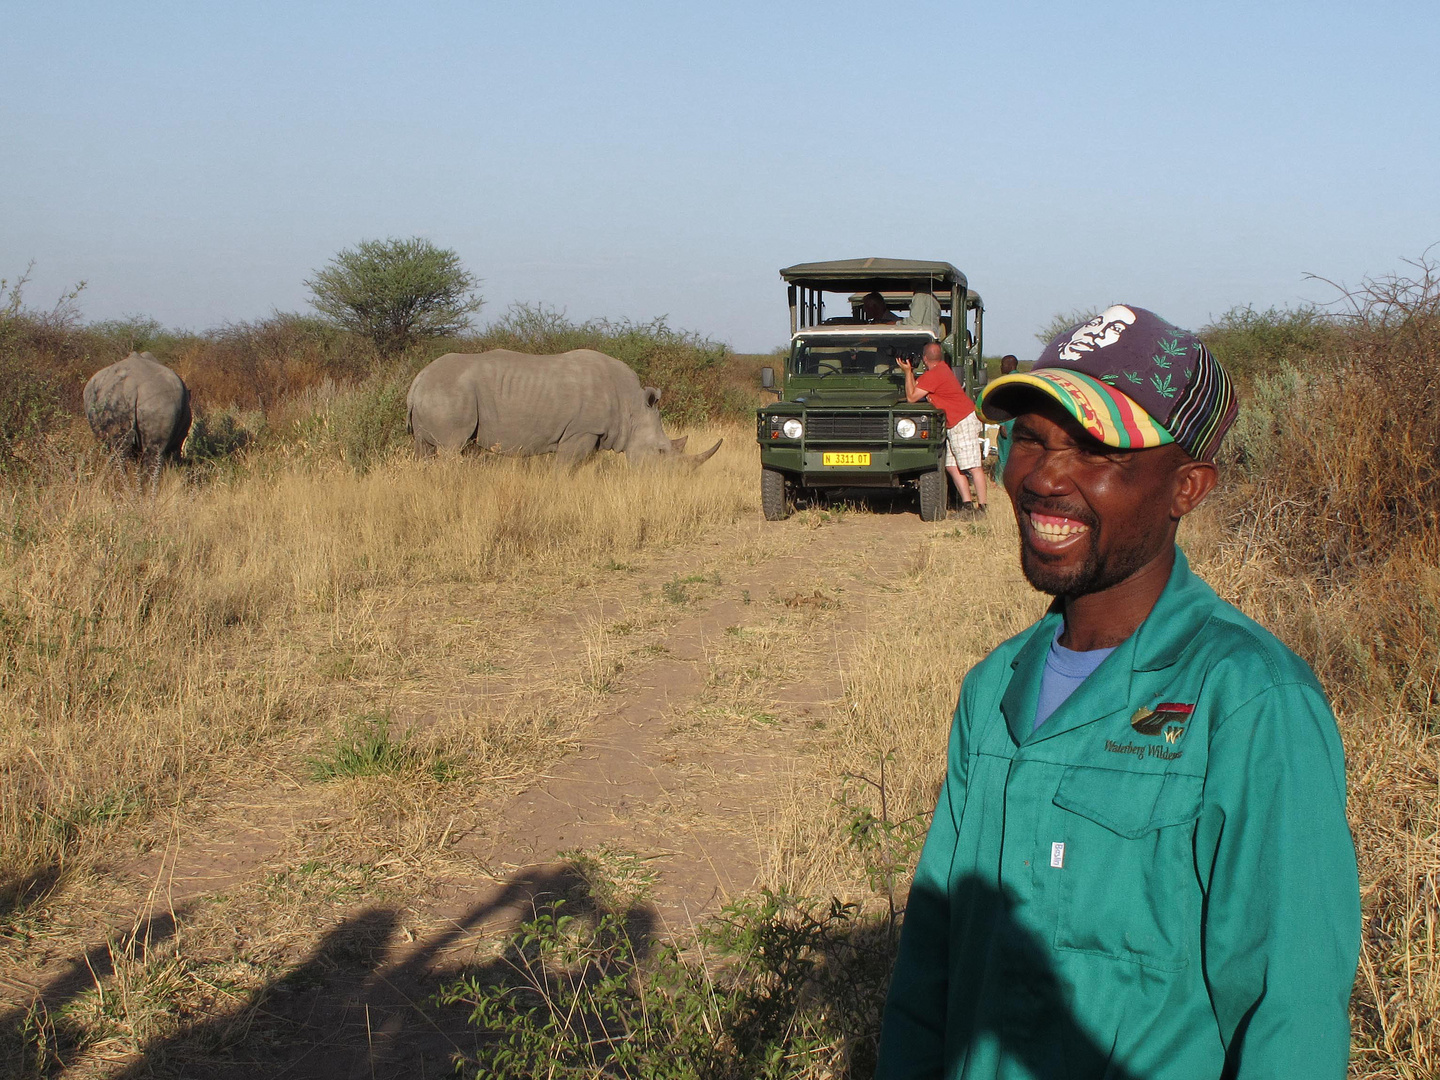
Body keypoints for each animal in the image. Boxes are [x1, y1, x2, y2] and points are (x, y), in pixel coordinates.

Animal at [403, 347, 720, 466]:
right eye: (661, 451)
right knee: (451, 448)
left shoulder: (594, 435)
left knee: (423, 449)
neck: (632, 408)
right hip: (450, 394)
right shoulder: (581, 431)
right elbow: (565, 469)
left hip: (434, 394)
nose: (671, 481)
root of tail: (417, 381)